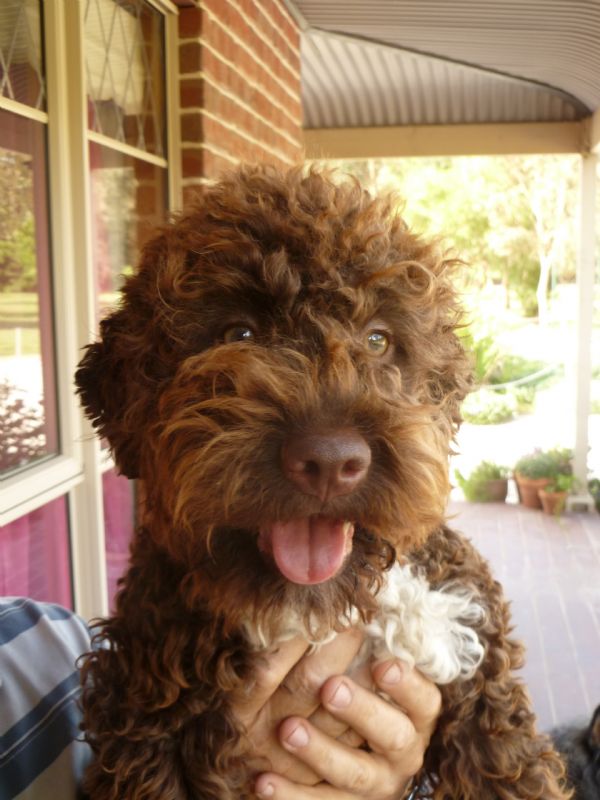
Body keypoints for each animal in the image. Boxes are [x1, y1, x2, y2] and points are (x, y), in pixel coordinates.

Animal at [75, 165, 570, 799]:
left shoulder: (476, 653)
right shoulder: (139, 719)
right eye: (237, 334)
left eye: (379, 339)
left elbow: (510, 766)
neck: (316, 610)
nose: (330, 462)